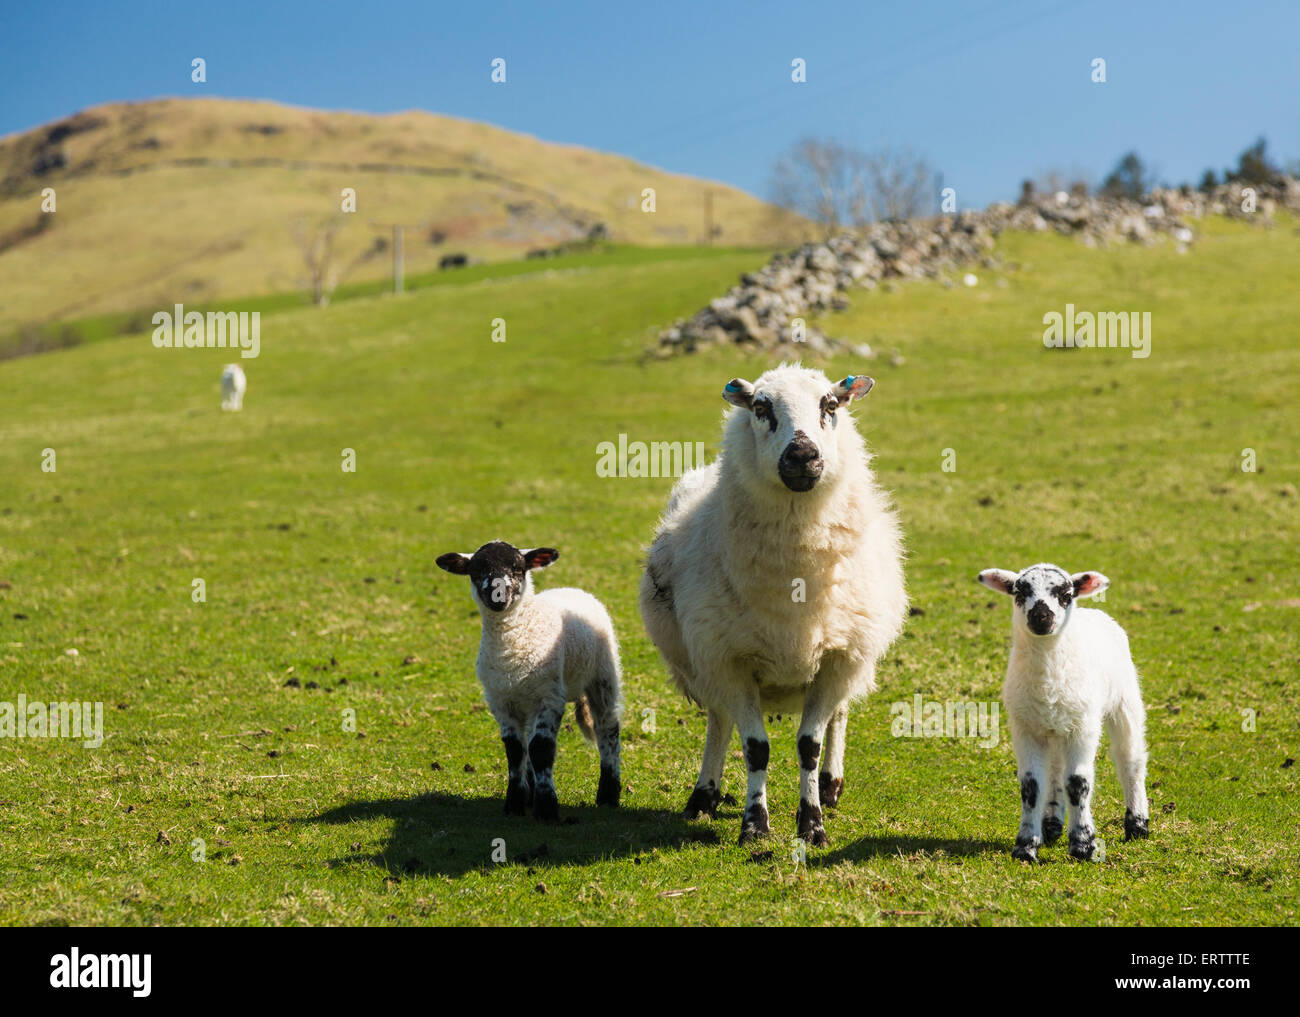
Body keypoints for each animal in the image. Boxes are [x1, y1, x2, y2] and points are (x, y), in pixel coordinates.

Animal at [434, 541, 621, 821]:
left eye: (517, 569)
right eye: (476, 571)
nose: (498, 596)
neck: (512, 644)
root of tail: (572, 589)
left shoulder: (549, 697)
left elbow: (541, 749)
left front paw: (547, 809)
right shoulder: (500, 702)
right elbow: (515, 751)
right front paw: (515, 803)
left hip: (603, 676)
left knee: (608, 730)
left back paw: (609, 795)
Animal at [637, 361, 904, 847]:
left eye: (830, 406)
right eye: (761, 408)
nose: (802, 456)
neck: (795, 582)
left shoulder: (838, 657)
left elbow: (809, 745)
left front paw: (812, 824)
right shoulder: (730, 660)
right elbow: (755, 747)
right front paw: (754, 827)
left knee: (839, 715)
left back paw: (831, 784)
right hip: (704, 661)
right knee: (719, 720)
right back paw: (704, 795)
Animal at [977, 561, 1154, 863]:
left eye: (1065, 594)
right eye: (1019, 592)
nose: (1041, 616)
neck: (1047, 676)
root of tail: (1093, 612)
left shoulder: (1084, 727)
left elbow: (1078, 782)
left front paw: (1083, 845)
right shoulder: (1024, 728)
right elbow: (1031, 786)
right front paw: (1026, 846)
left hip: (1124, 701)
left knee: (1129, 759)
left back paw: (1137, 825)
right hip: (1055, 724)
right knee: (1055, 769)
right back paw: (1051, 823)